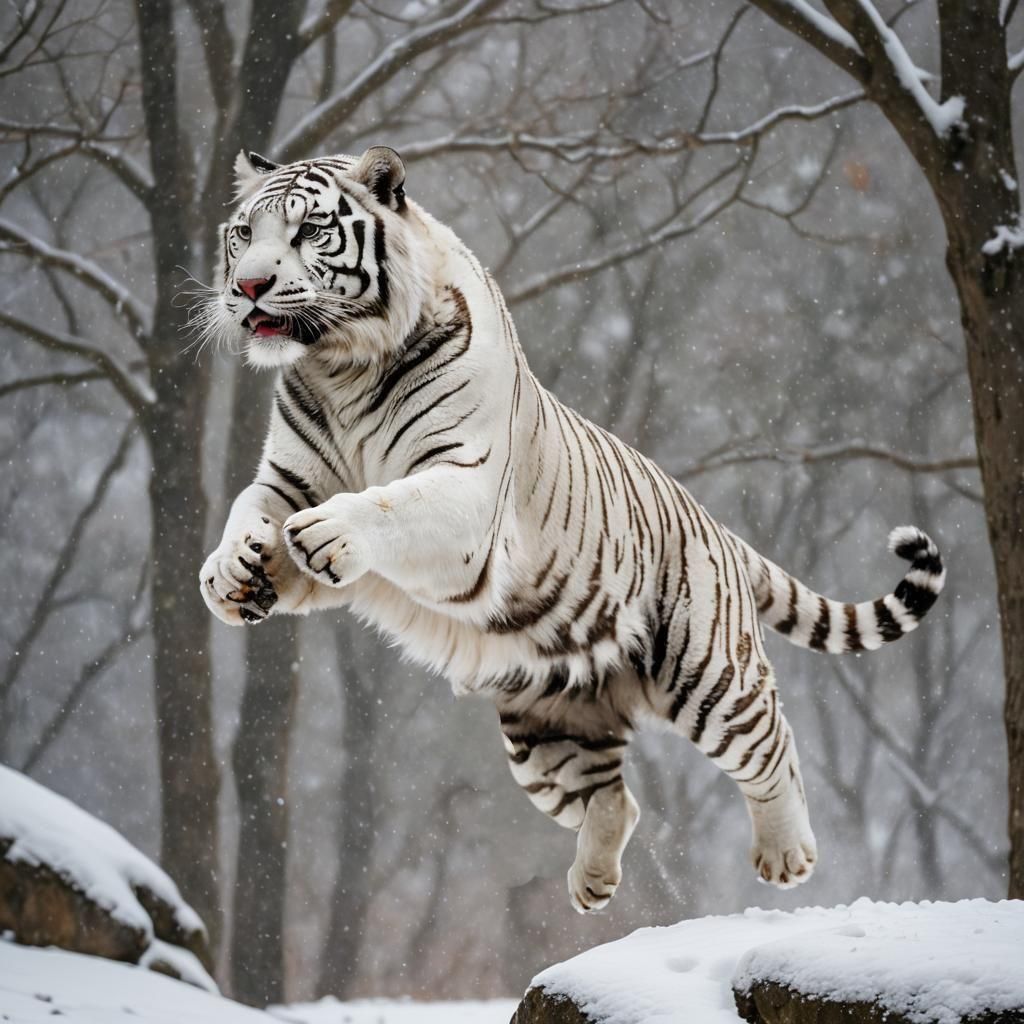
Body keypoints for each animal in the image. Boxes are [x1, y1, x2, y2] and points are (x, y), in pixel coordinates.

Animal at [199, 146, 946, 913]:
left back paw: (787, 855)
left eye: (310, 230)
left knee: (771, 744)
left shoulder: (466, 491)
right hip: (544, 732)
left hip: (708, 674)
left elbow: (391, 502)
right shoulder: (286, 479)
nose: (250, 284)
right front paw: (231, 574)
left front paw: (325, 532)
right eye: (244, 232)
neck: (341, 366)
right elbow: (247, 510)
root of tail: (715, 523)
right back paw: (592, 885)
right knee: (617, 800)